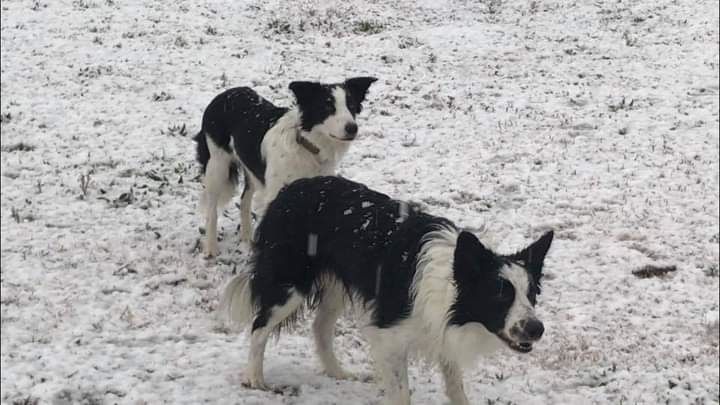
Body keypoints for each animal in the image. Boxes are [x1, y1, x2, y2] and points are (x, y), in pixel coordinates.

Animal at [194, 78, 380, 256]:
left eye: (351, 106)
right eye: (327, 107)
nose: (352, 128)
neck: (307, 146)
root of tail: (224, 94)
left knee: (244, 199)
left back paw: (246, 237)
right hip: (217, 166)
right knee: (212, 209)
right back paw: (211, 248)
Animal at [222, 175, 556, 402]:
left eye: (531, 295)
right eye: (499, 294)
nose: (536, 329)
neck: (449, 287)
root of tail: (289, 190)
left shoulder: (441, 332)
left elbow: (456, 387)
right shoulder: (389, 336)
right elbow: (402, 393)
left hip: (335, 287)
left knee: (320, 327)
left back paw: (337, 372)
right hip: (290, 284)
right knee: (260, 326)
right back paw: (255, 379)